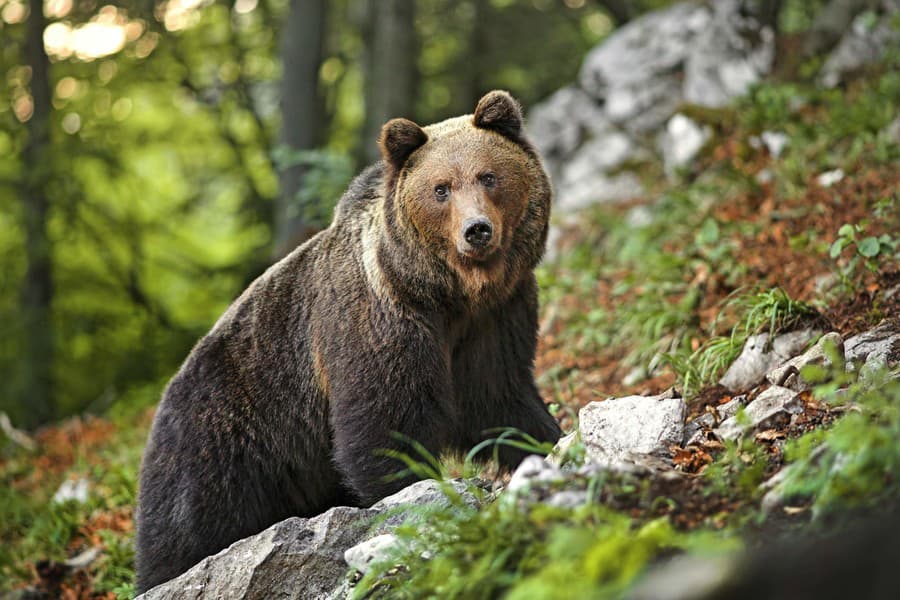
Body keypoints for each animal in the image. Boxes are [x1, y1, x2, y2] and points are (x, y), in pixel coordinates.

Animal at [134, 89, 560, 592]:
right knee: (187, 528)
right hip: (222, 440)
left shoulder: (496, 319)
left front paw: (547, 442)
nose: (476, 230)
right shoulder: (380, 320)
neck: (446, 294)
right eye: (441, 188)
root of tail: (163, 398)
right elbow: (385, 423)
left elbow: (500, 398)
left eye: (488, 176)